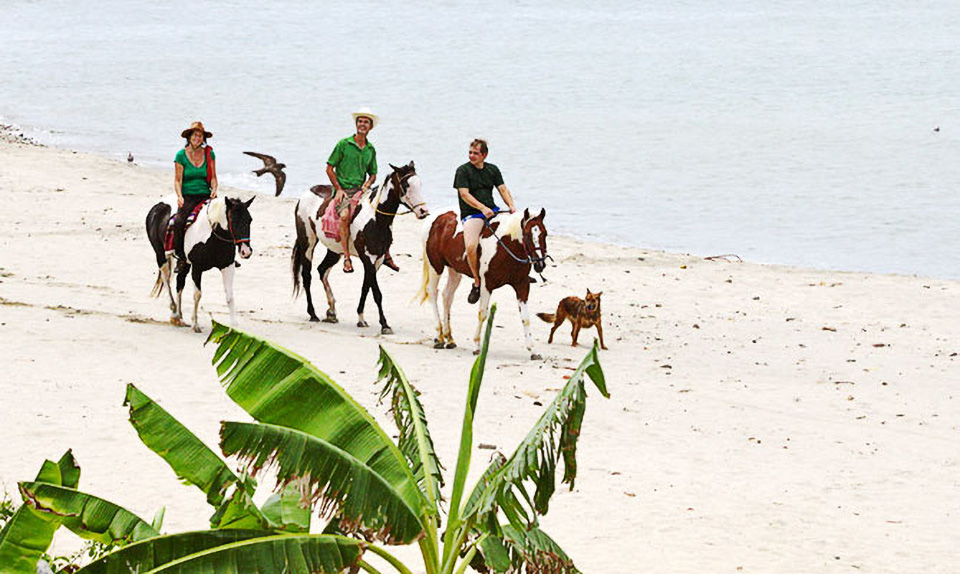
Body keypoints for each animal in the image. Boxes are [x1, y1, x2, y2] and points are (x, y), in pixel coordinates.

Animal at [144, 197, 253, 332]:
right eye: (233, 220)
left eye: (249, 220)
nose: (246, 251)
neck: (213, 236)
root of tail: (158, 206)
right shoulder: (197, 268)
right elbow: (197, 295)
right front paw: (195, 324)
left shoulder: (228, 267)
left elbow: (229, 295)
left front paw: (233, 325)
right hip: (160, 255)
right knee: (166, 280)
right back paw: (174, 313)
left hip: (185, 263)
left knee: (179, 284)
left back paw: (179, 316)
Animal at [290, 162, 430, 336]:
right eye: (406, 185)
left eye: (420, 184)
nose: (423, 211)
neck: (376, 220)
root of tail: (306, 194)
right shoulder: (367, 258)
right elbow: (377, 293)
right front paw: (384, 324)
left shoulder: (377, 260)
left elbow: (366, 288)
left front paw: (361, 319)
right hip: (308, 242)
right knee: (306, 275)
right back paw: (313, 314)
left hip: (334, 251)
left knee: (322, 270)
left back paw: (331, 312)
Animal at [414, 207, 548, 360]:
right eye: (527, 235)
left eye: (545, 233)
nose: (540, 264)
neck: (505, 246)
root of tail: (435, 217)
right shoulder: (486, 285)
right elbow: (482, 314)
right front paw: (477, 346)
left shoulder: (522, 285)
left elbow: (525, 318)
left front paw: (533, 350)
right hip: (435, 266)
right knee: (432, 293)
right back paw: (439, 336)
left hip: (454, 270)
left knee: (447, 296)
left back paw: (449, 338)